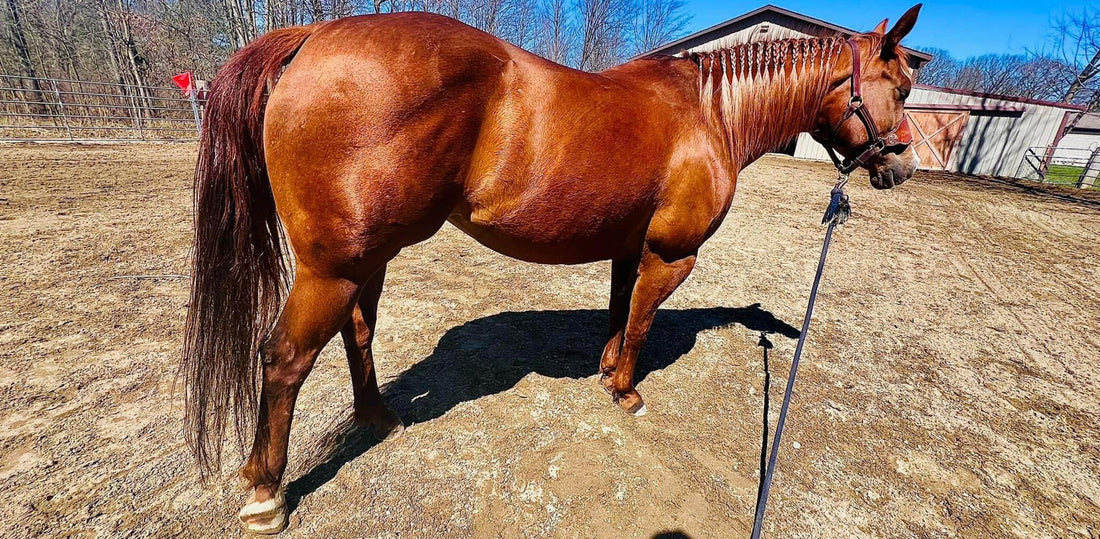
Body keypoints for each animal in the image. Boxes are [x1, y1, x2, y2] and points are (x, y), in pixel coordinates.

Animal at [180, 5, 922, 533]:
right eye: (899, 87)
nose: (905, 166)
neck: (709, 114)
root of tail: (315, 35)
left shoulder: (629, 247)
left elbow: (620, 311)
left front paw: (605, 368)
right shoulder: (672, 255)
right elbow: (643, 321)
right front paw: (625, 391)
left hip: (368, 258)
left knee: (356, 334)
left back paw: (378, 417)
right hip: (331, 267)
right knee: (285, 358)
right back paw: (266, 493)